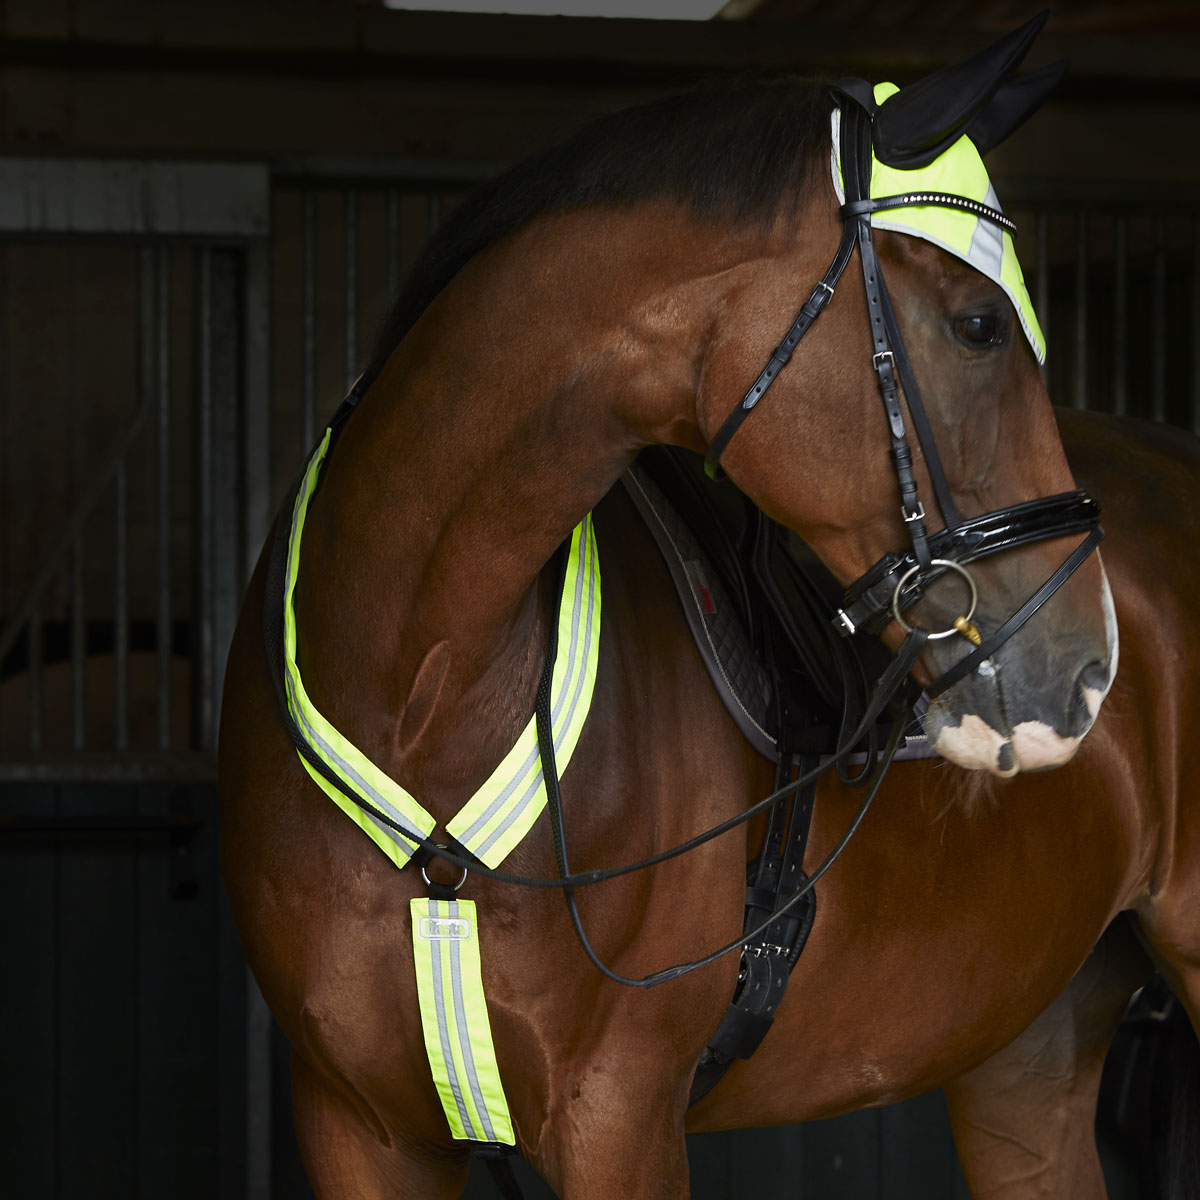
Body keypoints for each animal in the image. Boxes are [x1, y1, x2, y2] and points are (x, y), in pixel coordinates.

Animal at [216, 23, 1180, 1195]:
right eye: (980, 325)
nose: (1088, 668)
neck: (420, 682)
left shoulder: (620, 1117)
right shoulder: (356, 1123)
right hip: (1025, 1053)